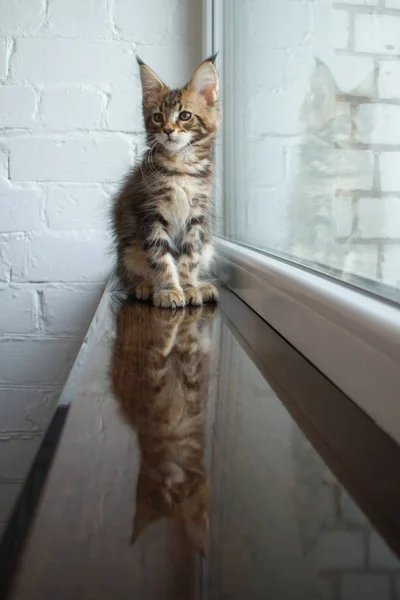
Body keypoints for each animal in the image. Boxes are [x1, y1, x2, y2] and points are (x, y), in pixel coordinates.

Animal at [110, 302, 216, 556]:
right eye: (153, 497)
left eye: (178, 497)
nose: (165, 482)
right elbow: (156, 361)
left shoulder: (193, 388)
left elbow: (187, 354)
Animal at [111, 55, 220, 310]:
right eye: (158, 117)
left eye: (185, 116)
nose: (168, 130)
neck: (181, 167)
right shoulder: (150, 212)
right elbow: (160, 257)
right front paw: (169, 290)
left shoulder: (197, 216)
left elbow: (190, 257)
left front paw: (189, 287)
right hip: (128, 248)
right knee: (128, 276)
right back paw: (144, 287)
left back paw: (203, 285)